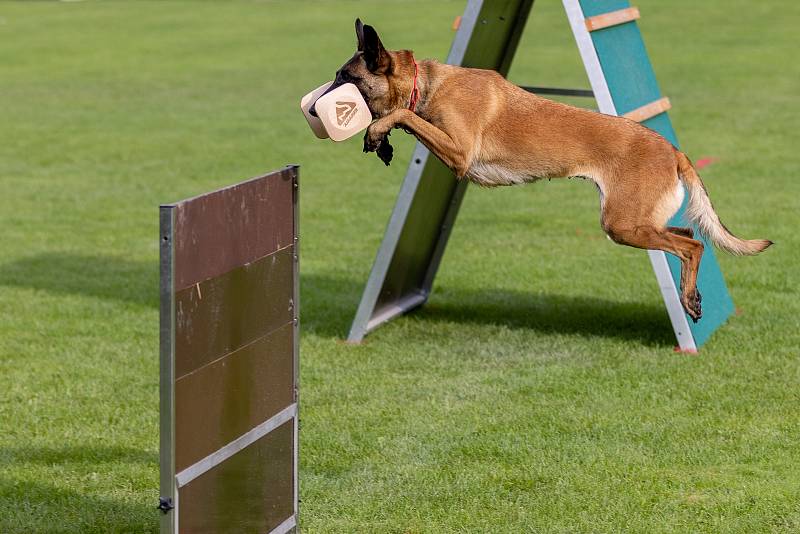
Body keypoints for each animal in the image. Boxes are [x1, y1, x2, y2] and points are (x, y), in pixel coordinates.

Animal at [310, 19, 772, 322]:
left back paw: (690, 298)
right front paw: (382, 139)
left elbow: (404, 116)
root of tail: (674, 150)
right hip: (636, 221)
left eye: (345, 79)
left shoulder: (459, 153)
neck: (426, 84)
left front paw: (378, 131)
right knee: (689, 233)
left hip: (623, 224)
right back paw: (690, 292)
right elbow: (404, 118)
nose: (312, 109)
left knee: (692, 245)